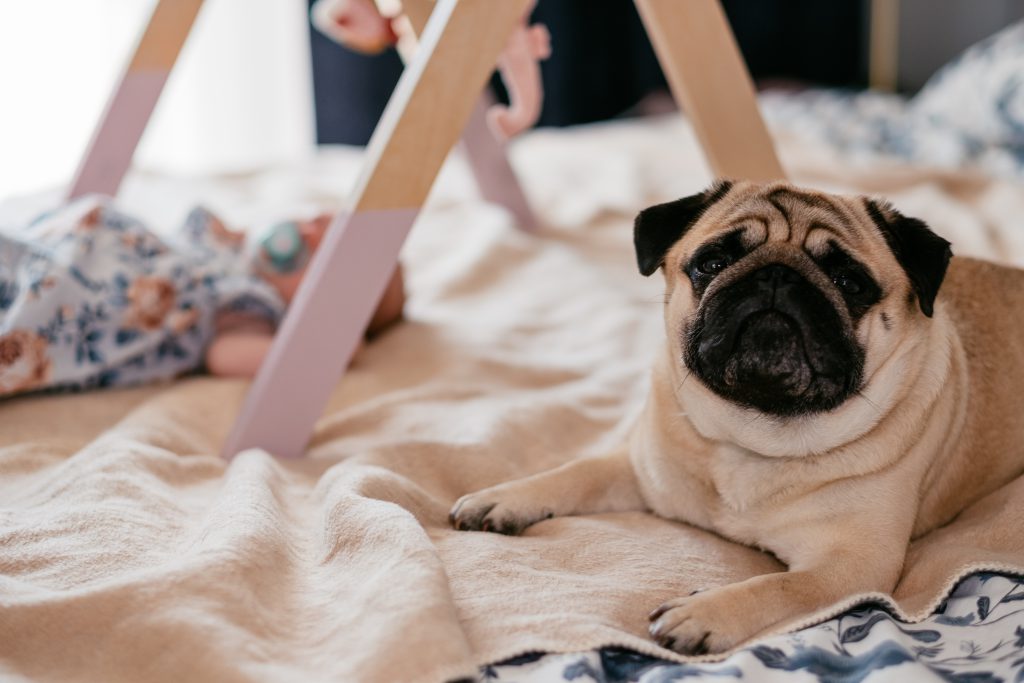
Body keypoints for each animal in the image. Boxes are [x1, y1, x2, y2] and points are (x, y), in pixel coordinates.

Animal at [454, 180, 1024, 655]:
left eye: (849, 282)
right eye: (711, 263)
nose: (776, 275)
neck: (757, 432)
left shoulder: (850, 566)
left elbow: (780, 584)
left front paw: (704, 612)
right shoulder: (641, 469)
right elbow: (575, 472)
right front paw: (504, 497)